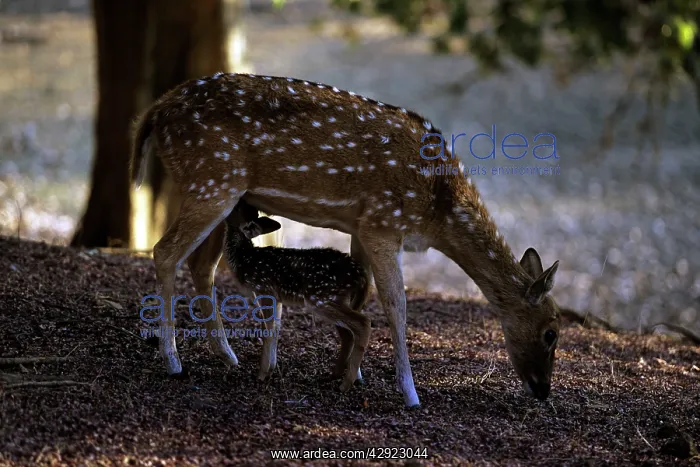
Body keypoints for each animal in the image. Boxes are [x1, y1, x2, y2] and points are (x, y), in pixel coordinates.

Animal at [222, 199, 371, 391]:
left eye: (238, 207)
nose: (236, 199)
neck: (244, 259)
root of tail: (360, 275)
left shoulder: (264, 287)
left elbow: (268, 329)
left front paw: (261, 375)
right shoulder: (276, 297)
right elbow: (275, 328)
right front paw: (270, 371)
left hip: (321, 297)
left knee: (363, 323)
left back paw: (345, 384)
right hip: (336, 299)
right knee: (348, 333)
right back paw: (335, 374)